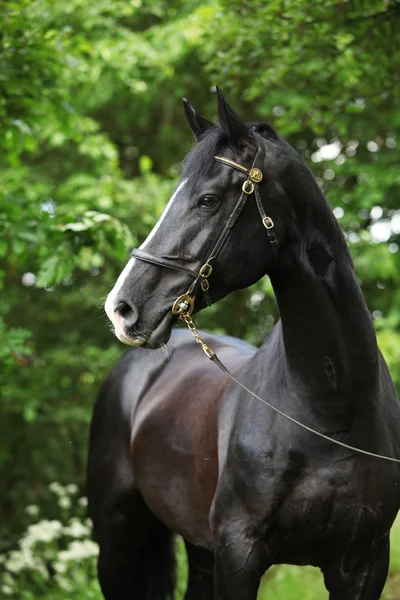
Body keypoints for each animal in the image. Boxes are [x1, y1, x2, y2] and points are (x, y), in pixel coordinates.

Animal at [86, 85, 400, 600]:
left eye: (208, 200)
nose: (122, 308)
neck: (328, 410)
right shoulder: (239, 554)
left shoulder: (363, 564)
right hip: (116, 540)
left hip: (199, 550)